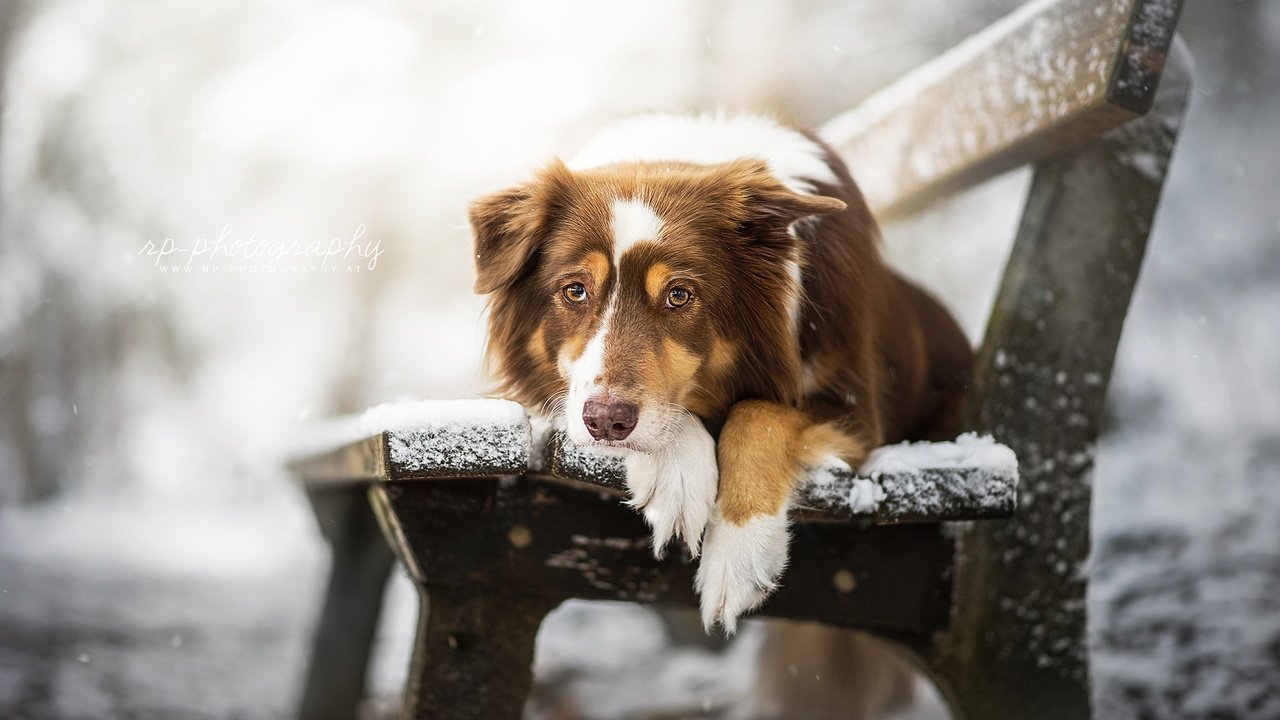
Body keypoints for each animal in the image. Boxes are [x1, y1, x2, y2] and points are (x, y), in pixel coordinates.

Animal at [471, 112, 967, 712]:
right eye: (574, 290)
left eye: (680, 296)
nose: (606, 421)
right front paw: (679, 478)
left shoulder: (854, 410)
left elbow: (759, 413)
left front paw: (740, 554)